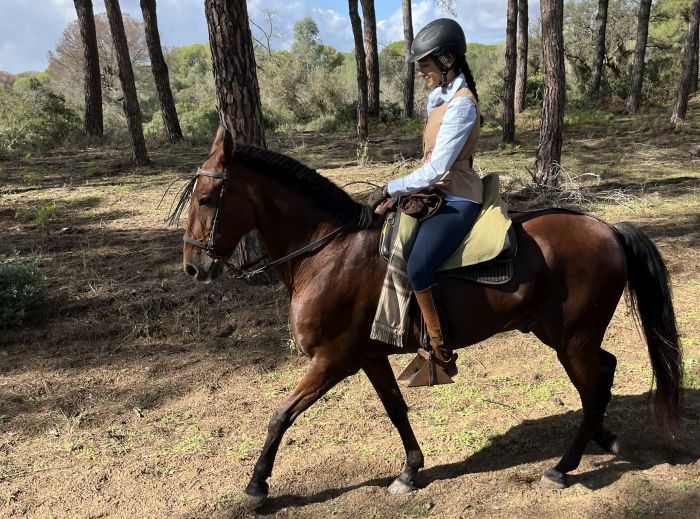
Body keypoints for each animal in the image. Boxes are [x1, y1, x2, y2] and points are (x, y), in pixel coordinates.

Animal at [176, 128, 684, 510]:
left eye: (207, 198)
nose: (193, 267)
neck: (329, 251)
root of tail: (608, 228)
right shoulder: (369, 356)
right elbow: (395, 408)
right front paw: (410, 470)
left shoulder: (332, 361)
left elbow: (280, 415)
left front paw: (257, 486)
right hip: (568, 336)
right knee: (605, 372)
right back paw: (604, 437)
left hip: (571, 341)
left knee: (593, 385)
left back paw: (562, 468)